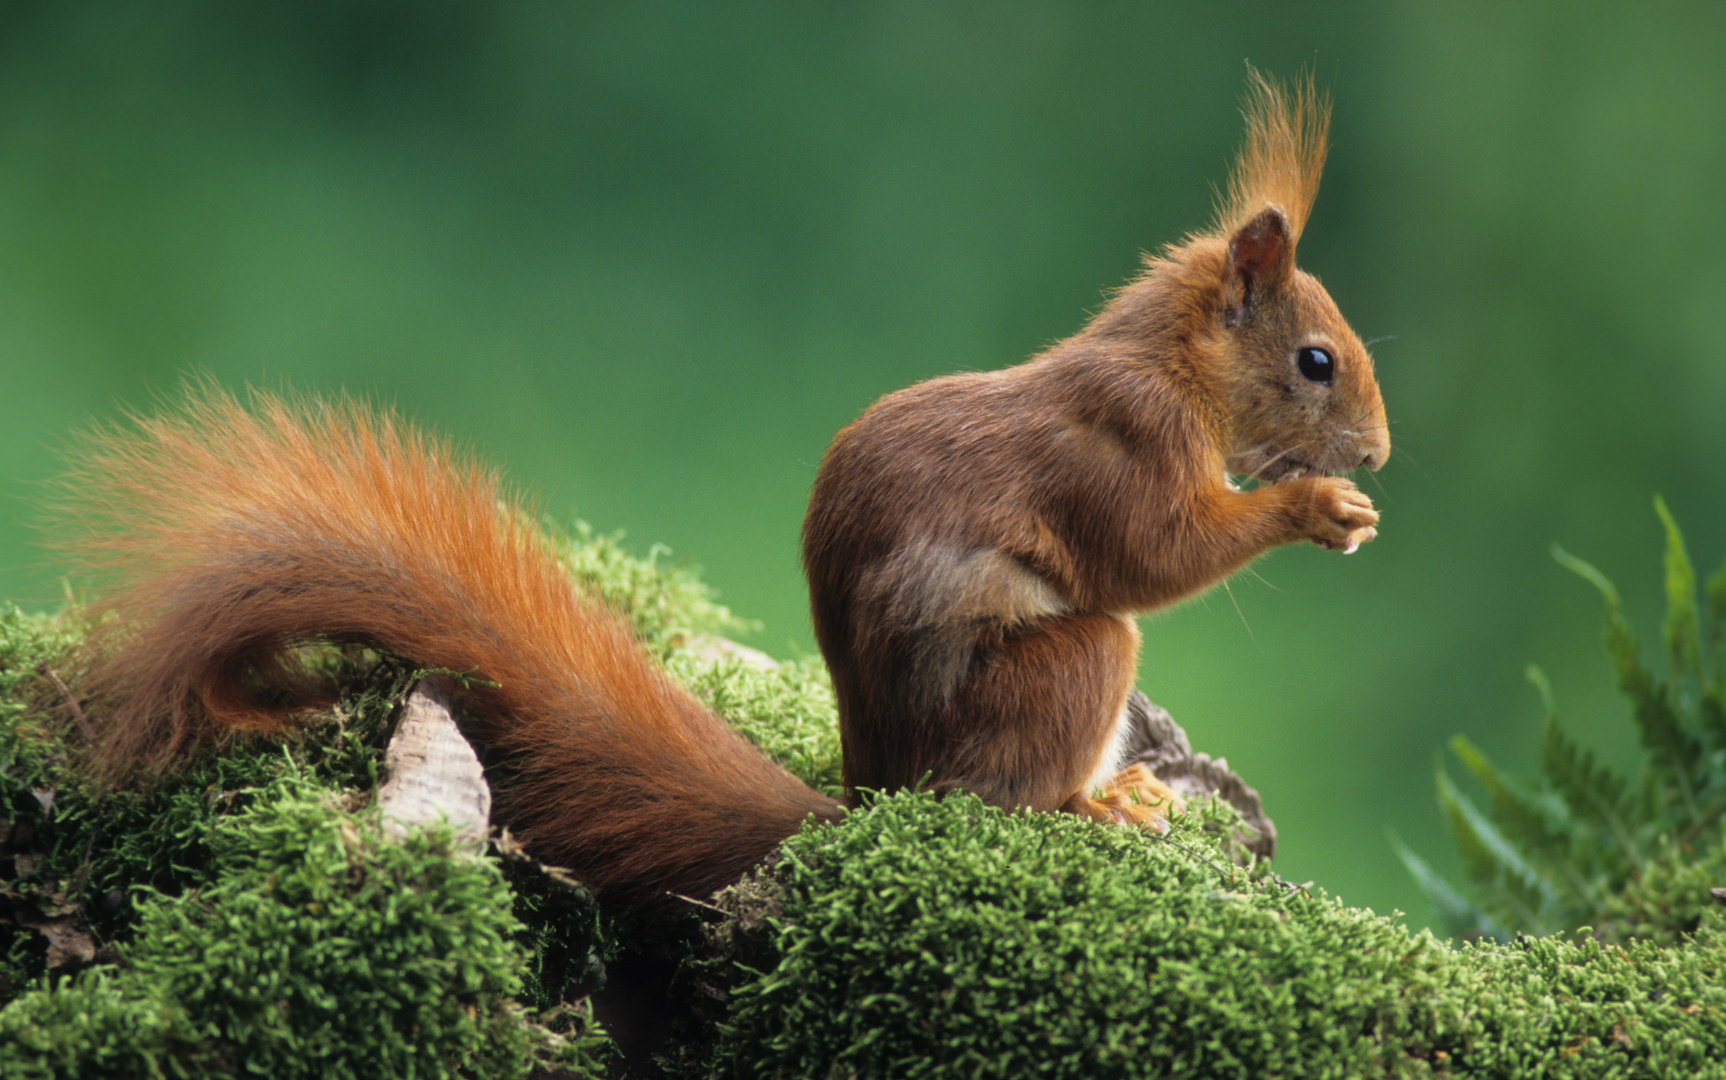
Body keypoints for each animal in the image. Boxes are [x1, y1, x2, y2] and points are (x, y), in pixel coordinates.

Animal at [53, 71, 1380, 897]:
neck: (1169, 363)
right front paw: (1317, 511)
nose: (1374, 455)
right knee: (1028, 764)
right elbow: (1152, 555)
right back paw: (1091, 805)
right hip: (1056, 678)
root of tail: (872, 800)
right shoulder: (1119, 444)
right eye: (1314, 361)